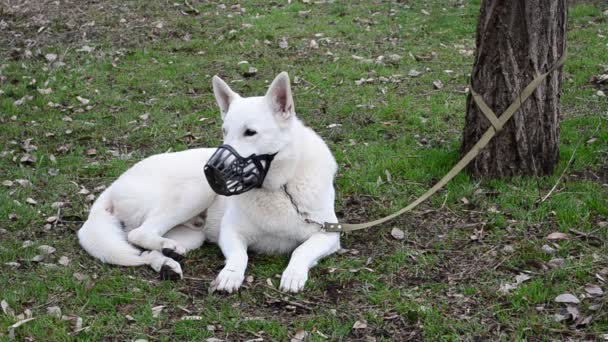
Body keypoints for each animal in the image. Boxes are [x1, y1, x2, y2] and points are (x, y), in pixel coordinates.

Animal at [78, 71, 340, 292]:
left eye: (250, 132)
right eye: (225, 131)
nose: (212, 170)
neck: (280, 188)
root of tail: (113, 186)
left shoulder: (329, 234)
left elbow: (302, 250)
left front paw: (293, 274)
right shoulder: (231, 232)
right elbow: (240, 256)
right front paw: (230, 275)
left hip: (193, 234)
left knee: (138, 249)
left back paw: (166, 261)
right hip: (195, 191)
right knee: (138, 234)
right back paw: (167, 251)